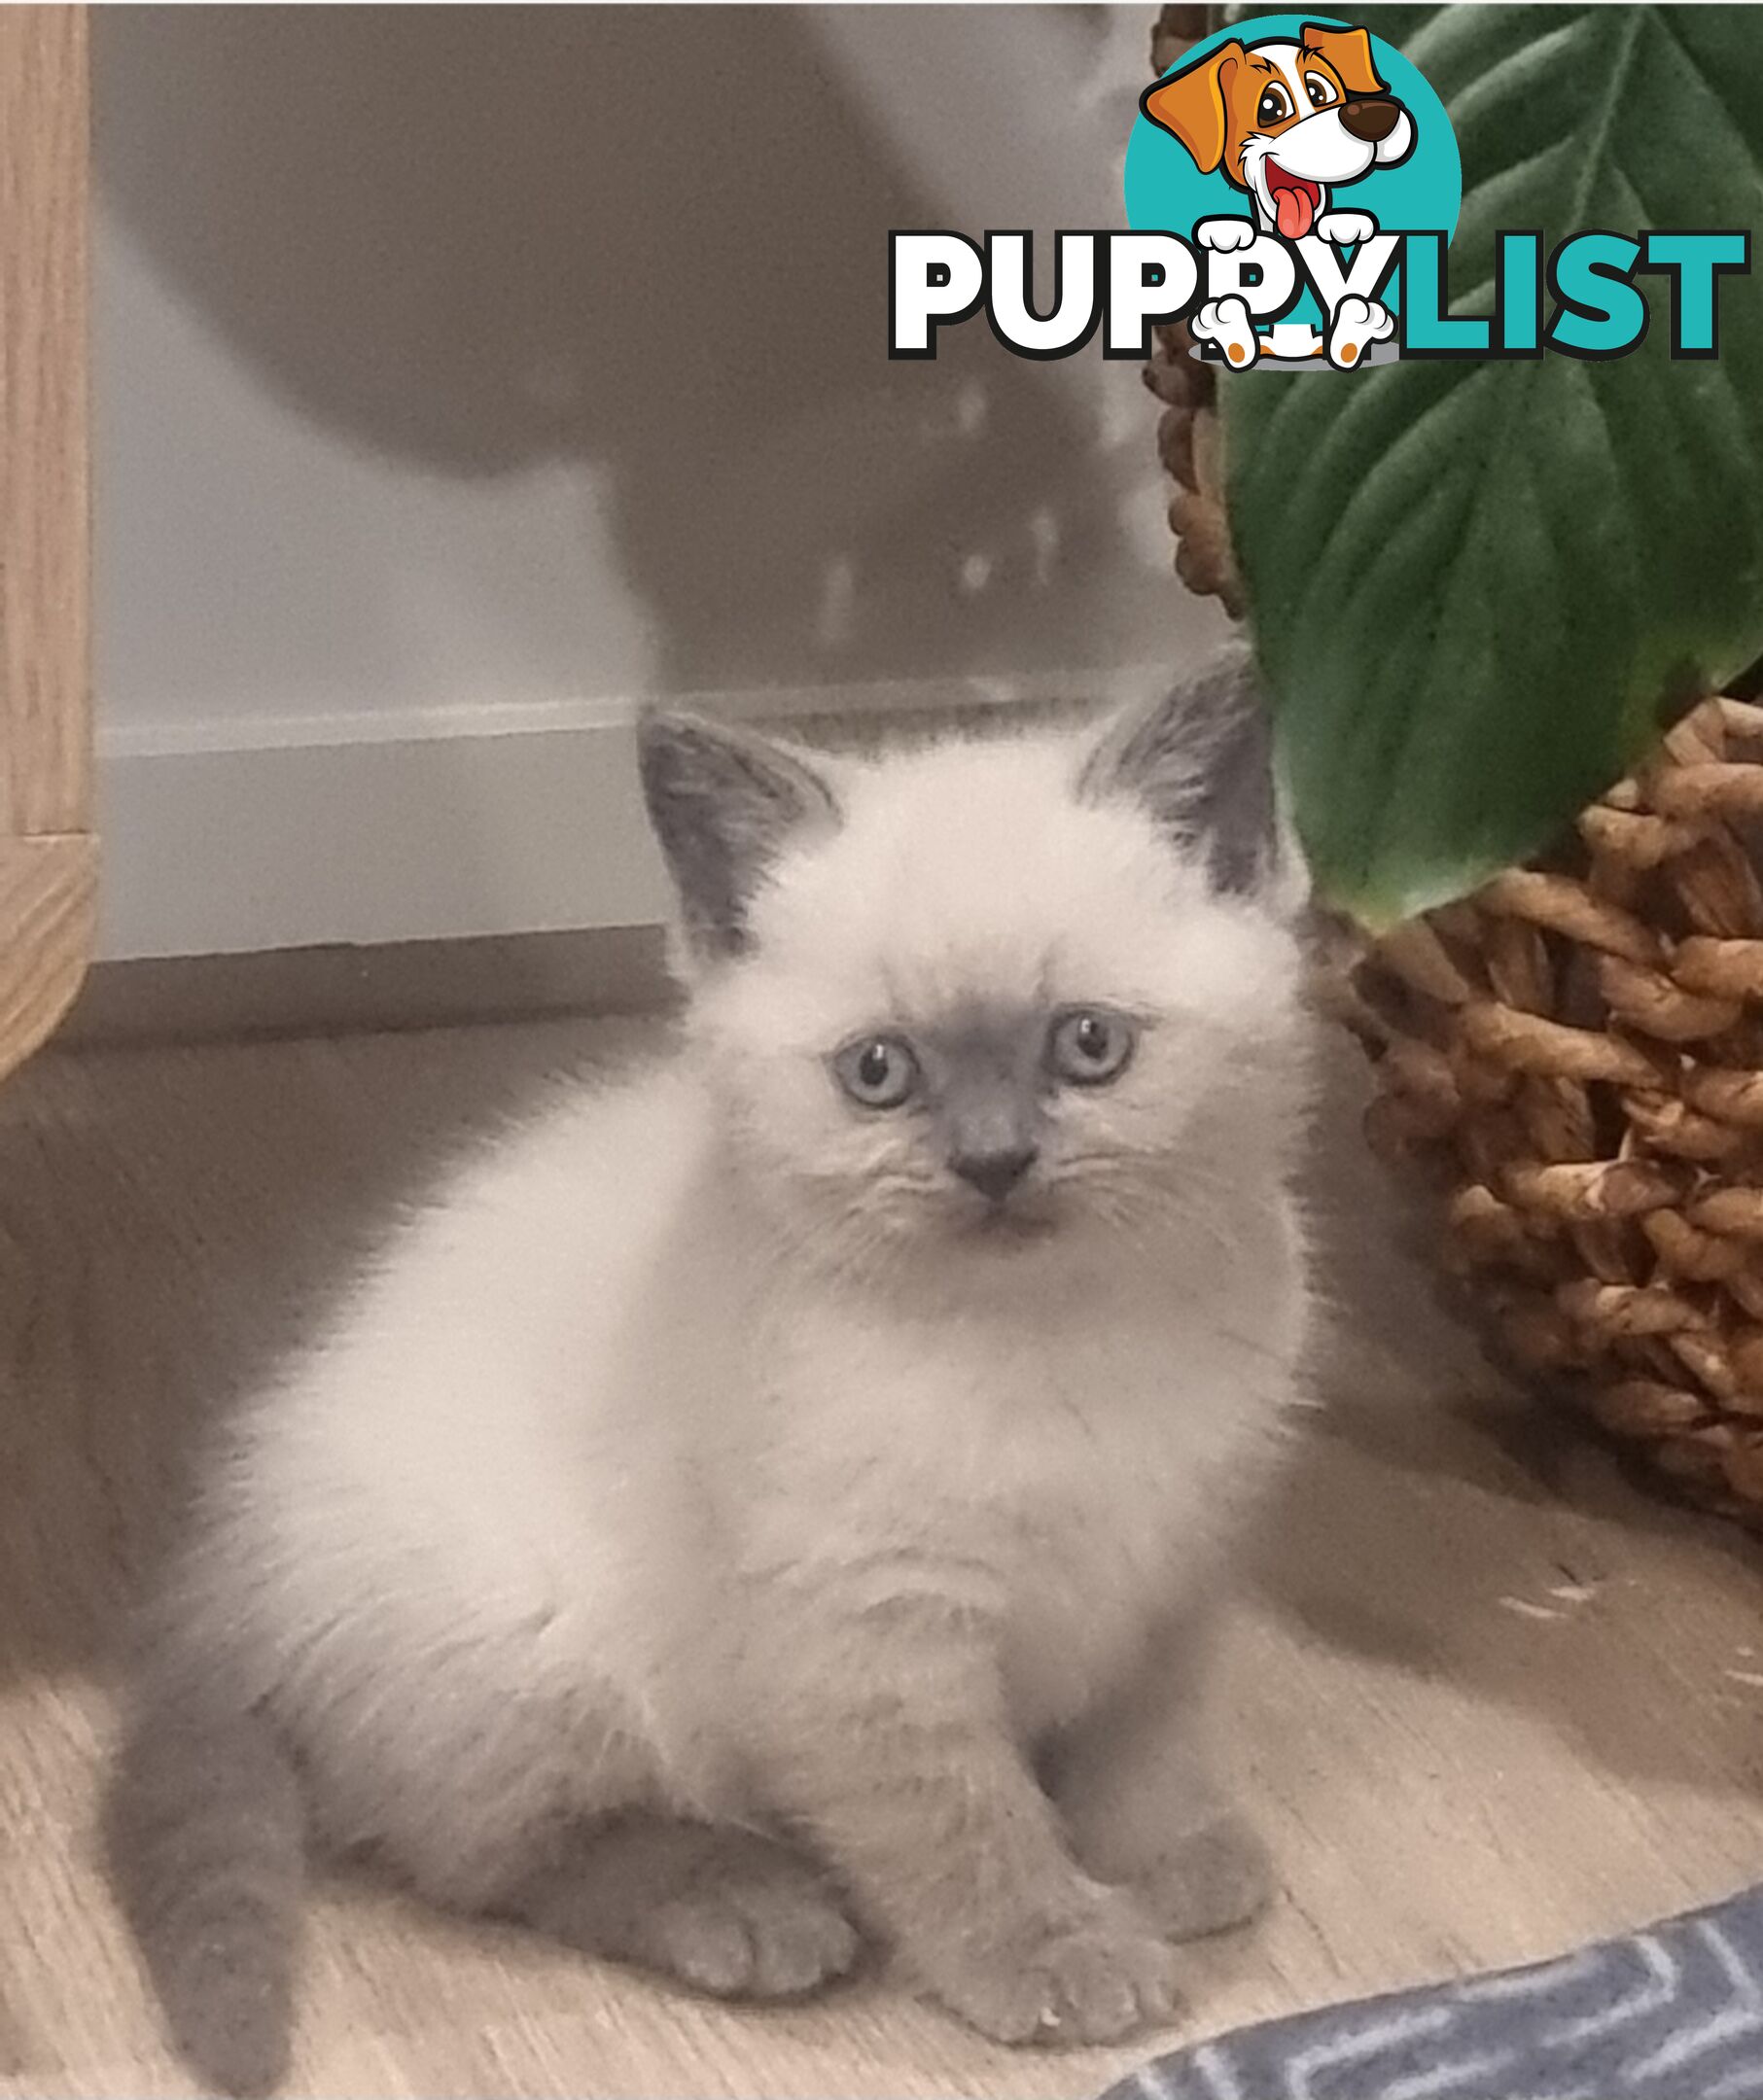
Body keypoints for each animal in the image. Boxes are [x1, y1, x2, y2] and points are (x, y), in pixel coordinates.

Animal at [110, 647, 1320, 2091]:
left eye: (1088, 1045)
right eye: (877, 1073)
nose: (992, 1165)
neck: (1062, 1332)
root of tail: (222, 1559)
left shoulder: (1176, 1566)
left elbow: (1146, 1742)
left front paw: (1170, 1858)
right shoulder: (865, 1638)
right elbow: (962, 1825)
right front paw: (1056, 1955)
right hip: (540, 1655)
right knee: (503, 1855)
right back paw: (751, 1907)